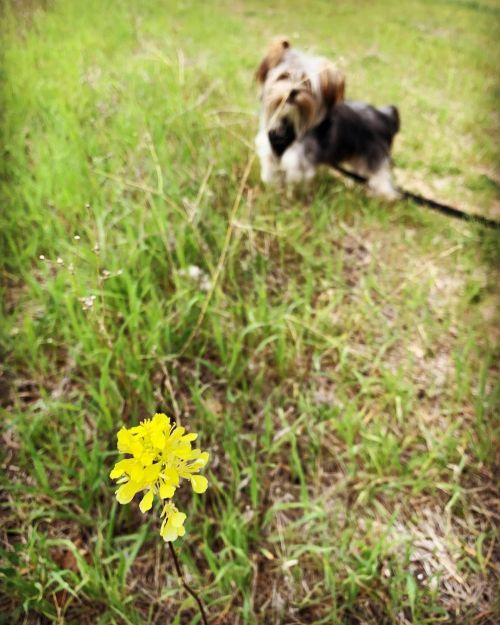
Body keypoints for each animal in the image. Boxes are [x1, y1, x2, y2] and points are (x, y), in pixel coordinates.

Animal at [256, 37, 346, 185]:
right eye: (284, 76)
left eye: (307, 82)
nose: (292, 91)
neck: (288, 119)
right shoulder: (269, 150)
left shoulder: (298, 159)